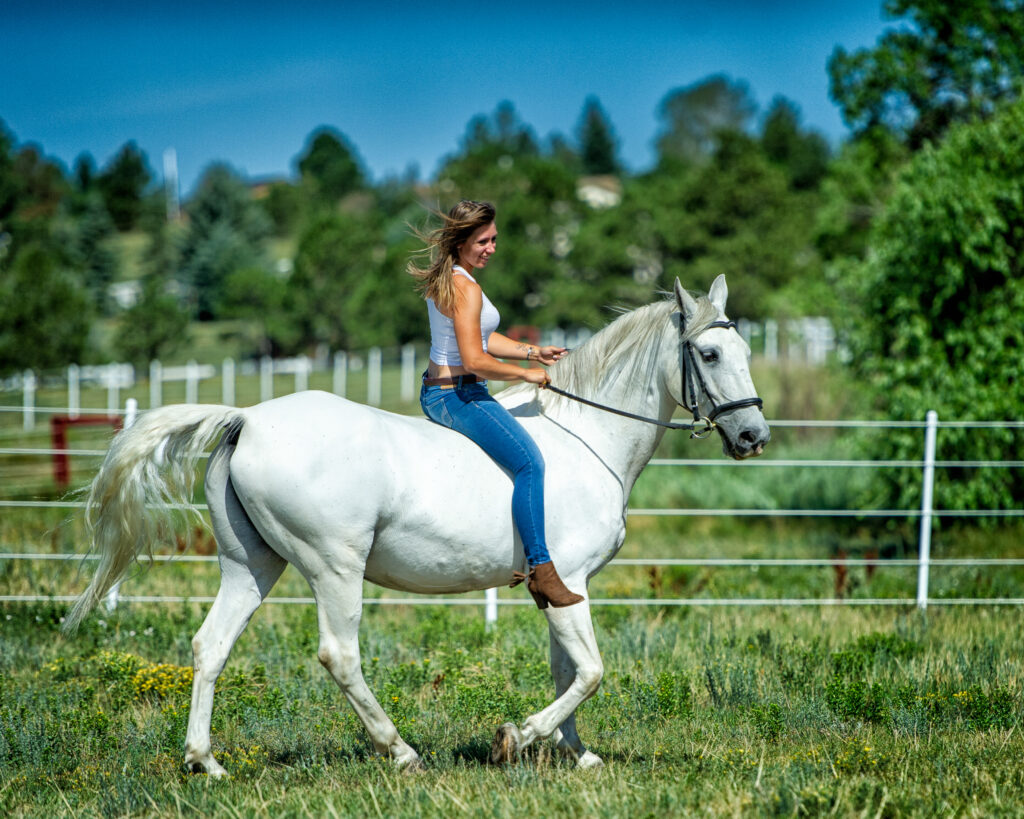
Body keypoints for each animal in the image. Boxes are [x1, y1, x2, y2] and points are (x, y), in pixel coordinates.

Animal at [64, 275, 769, 775]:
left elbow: (567, 670)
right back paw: (401, 752)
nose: (753, 436)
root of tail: (249, 419)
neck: (586, 436)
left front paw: (579, 754)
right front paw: (516, 737)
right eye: (709, 353)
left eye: (745, 349)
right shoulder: (569, 578)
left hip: (251, 564)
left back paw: (205, 763)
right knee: (340, 654)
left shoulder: (563, 586)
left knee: (210, 646)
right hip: (334, 567)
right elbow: (591, 671)